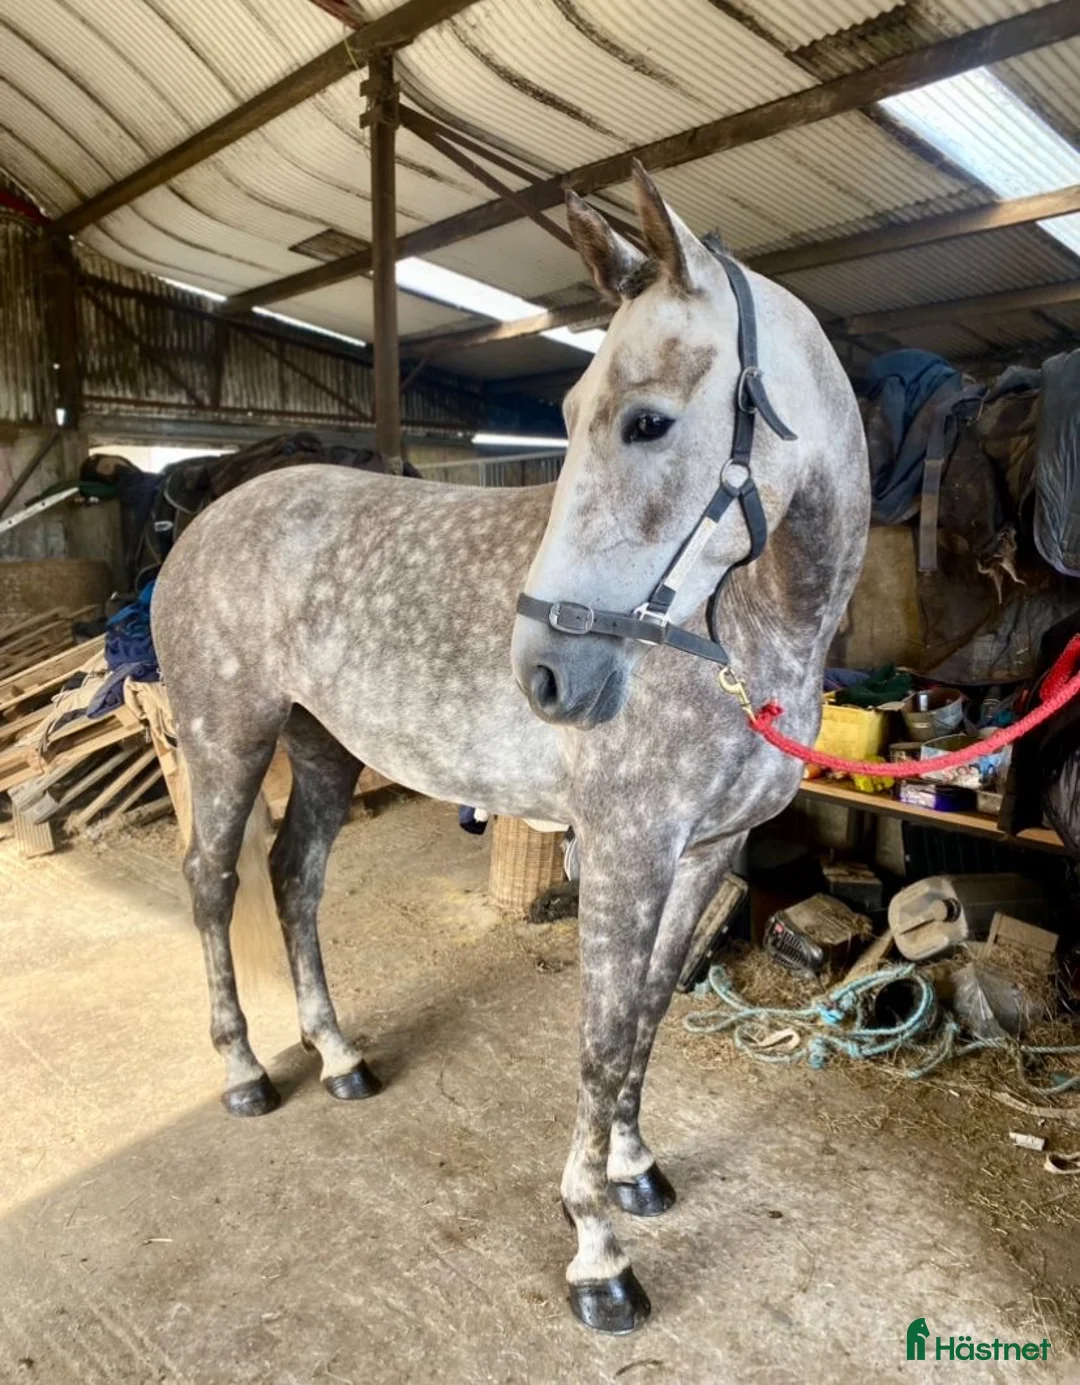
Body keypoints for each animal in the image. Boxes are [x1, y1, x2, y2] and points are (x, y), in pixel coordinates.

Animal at [151, 162, 869, 1336]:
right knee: (214, 883)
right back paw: (247, 1072)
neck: (746, 631)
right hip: (229, 738)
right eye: (571, 417)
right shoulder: (624, 851)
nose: (546, 674)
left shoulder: (708, 850)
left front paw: (634, 1167)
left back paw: (339, 1056)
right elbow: (601, 1035)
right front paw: (596, 1250)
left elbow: (651, 1010)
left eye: (648, 421)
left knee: (293, 878)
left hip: (322, 750)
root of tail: (208, 516)